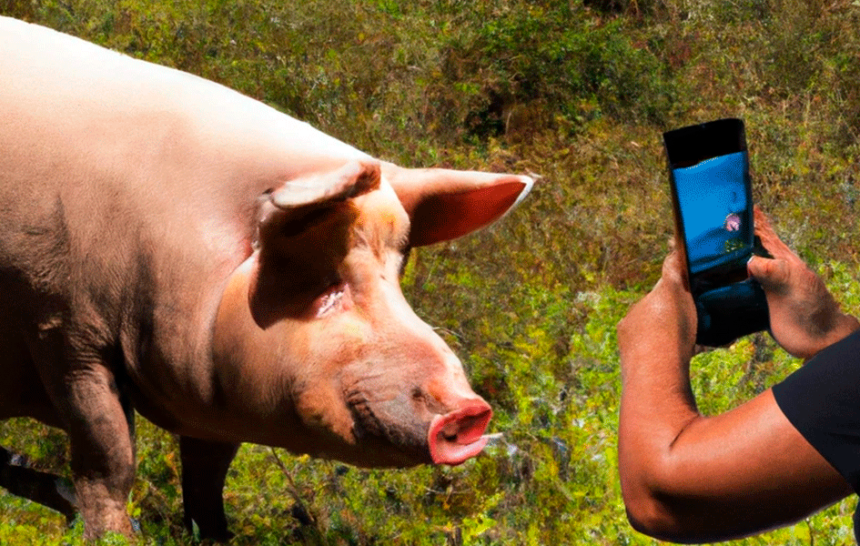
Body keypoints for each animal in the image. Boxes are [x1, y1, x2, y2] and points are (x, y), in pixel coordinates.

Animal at [0, 16, 533, 541]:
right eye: (323, 272)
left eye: (397, 269)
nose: (470, 409)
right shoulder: (63, 330)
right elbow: (109, 459)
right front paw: (115, 536)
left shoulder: (212, 399)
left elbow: (208, 476)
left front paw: (216, 535)